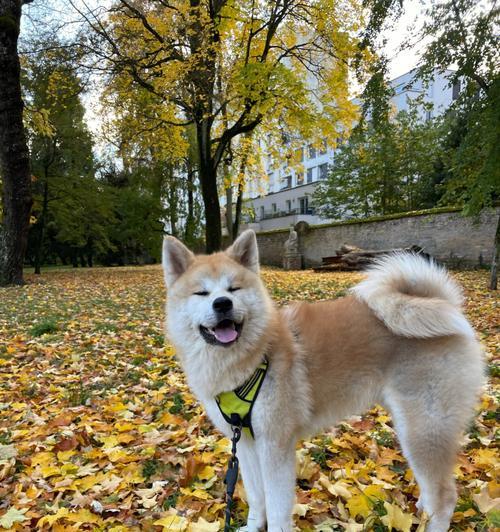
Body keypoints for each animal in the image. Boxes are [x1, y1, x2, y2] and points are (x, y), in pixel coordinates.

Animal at [163, 231, 484, 532]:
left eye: (233, 289)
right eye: (201, 293)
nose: (222, 303)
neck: (252, 357)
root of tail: (446, 306)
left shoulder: (275, 445)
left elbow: (277, 507)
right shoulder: (245, 443)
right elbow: (256, 497)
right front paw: (253, 527)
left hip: (424, 430)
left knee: (445, 496)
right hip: (412, 429)